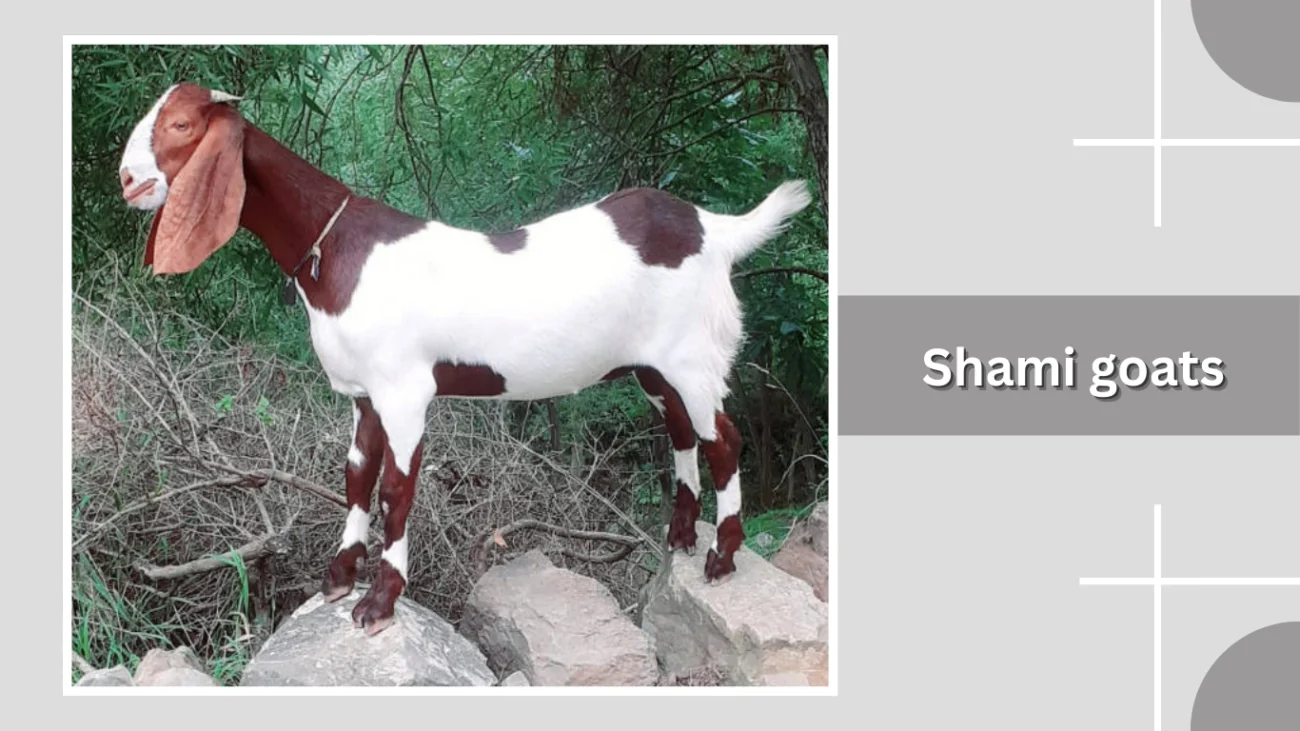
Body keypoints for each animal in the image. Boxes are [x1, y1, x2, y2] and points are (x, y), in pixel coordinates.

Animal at [117, 82, 813, 636]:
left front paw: (380, 601)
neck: (336, 249)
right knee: (682, 431)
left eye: (181, 126)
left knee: (723, 437)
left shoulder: (403, 390)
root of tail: (714, 230)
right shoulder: (364, 394)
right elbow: (357, 476)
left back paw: (722, 558)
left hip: (693, 355)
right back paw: (681, 538)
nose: (127, 180)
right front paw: (338, 576)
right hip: (654, 366)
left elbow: (397, 488)